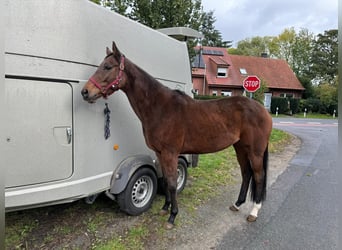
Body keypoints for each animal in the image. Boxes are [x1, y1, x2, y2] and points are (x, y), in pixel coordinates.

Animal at [81, 42, 272, 229]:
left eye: (107, 66)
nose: (85, 92)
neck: (160, 107)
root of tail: (263, 110)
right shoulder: (159, 153)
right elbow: (166, 180)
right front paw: (165, 208)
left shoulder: (170, 153)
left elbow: (172, 183)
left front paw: (172, 216)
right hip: (240, 147)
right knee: (246, 173)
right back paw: (237, 204)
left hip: (255, 151)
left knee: (258, 176)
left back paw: (254, 211)